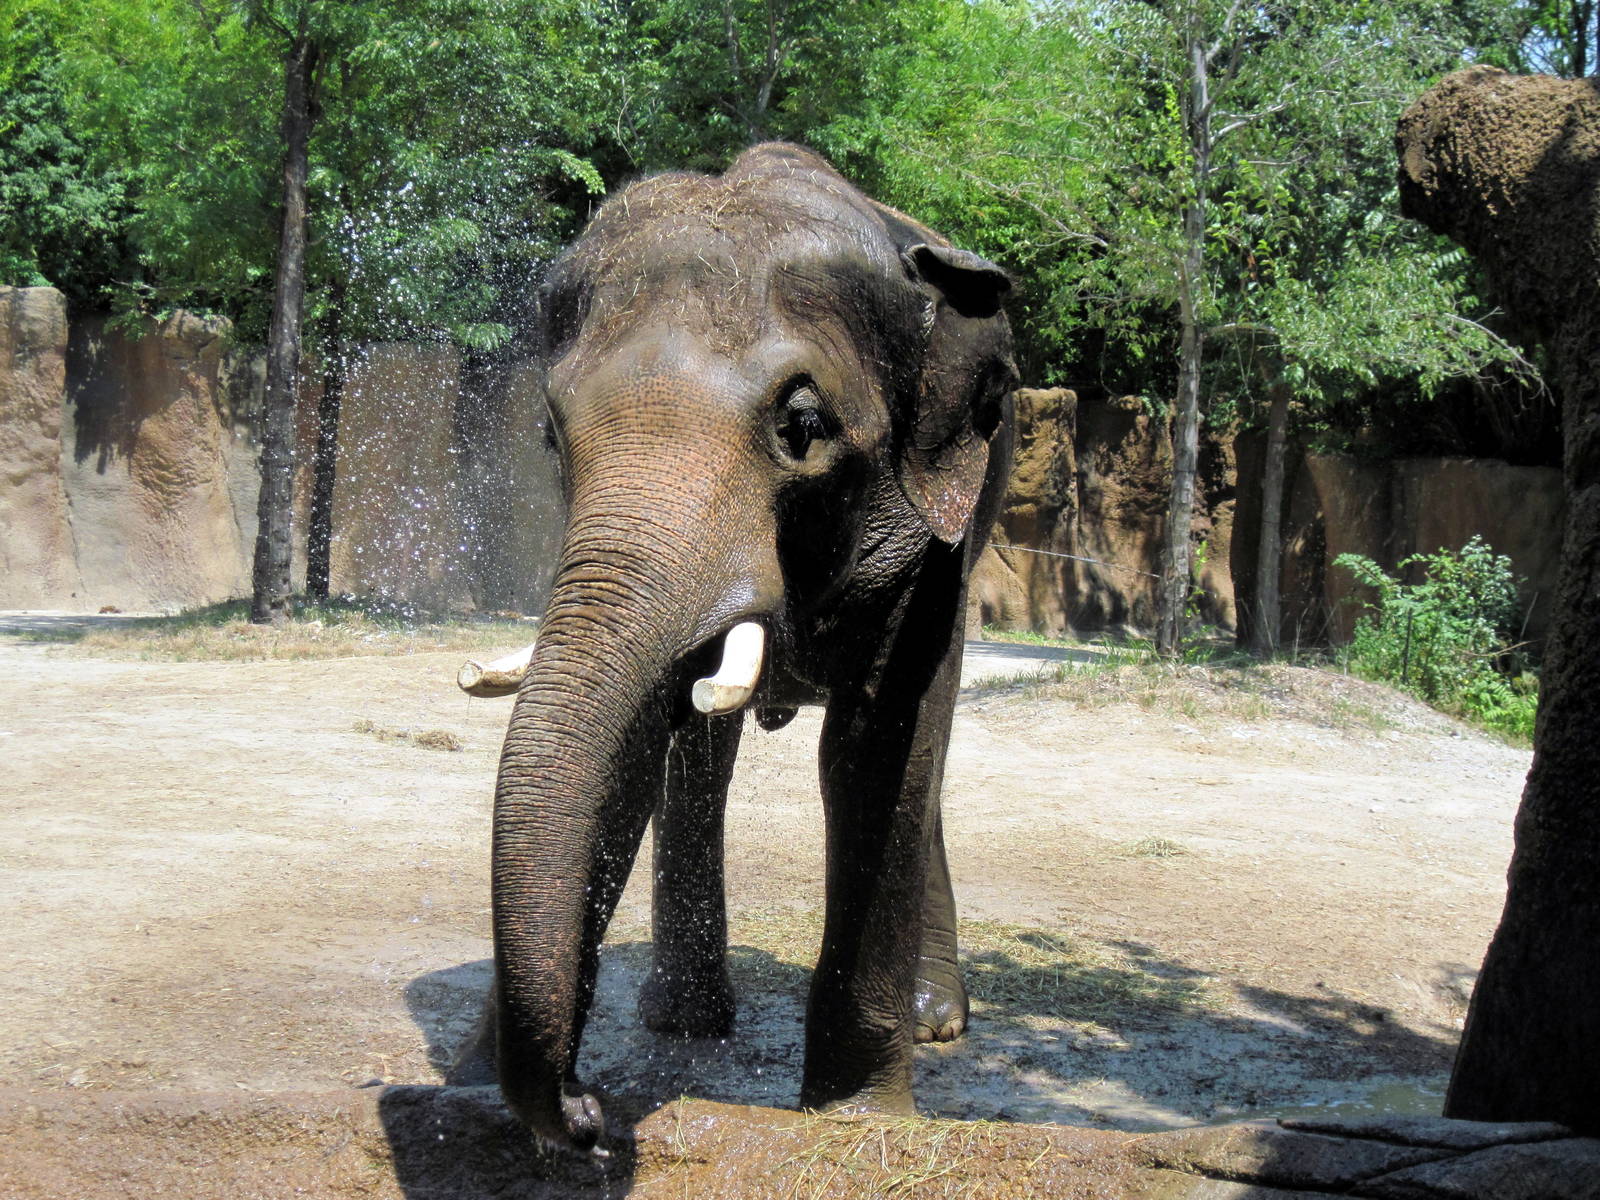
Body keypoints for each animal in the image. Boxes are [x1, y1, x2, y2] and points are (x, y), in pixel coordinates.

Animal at [452, 142, 1018, 1154]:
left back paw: (936, 1021)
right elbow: (636, 745)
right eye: (551, 434)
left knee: (924, 751)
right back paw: (685, 1021)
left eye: (802, 427)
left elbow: (875, 750)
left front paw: (855, 1117)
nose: (590, 1114)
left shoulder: (929, 538)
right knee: (707, 752)